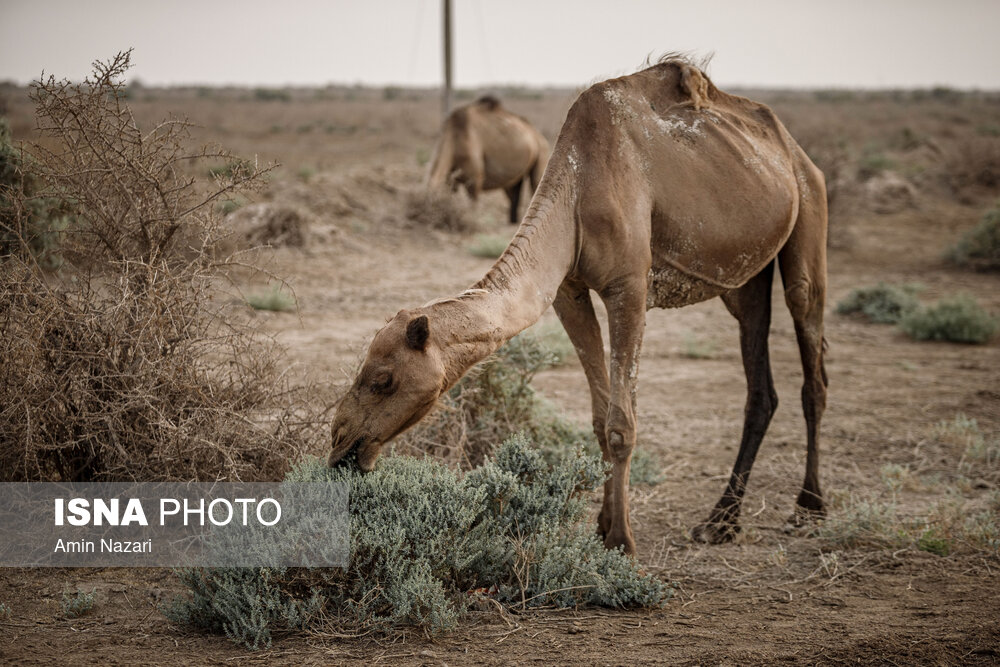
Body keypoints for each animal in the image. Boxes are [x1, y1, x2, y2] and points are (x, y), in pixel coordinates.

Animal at [426, 95, 552, 224]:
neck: (454, 138)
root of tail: (538, 135)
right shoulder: (451, 179)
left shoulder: (475, 178)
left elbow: (473, 203)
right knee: (514, 194)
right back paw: (513, 221)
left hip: (542, 153)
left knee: (535, 183)